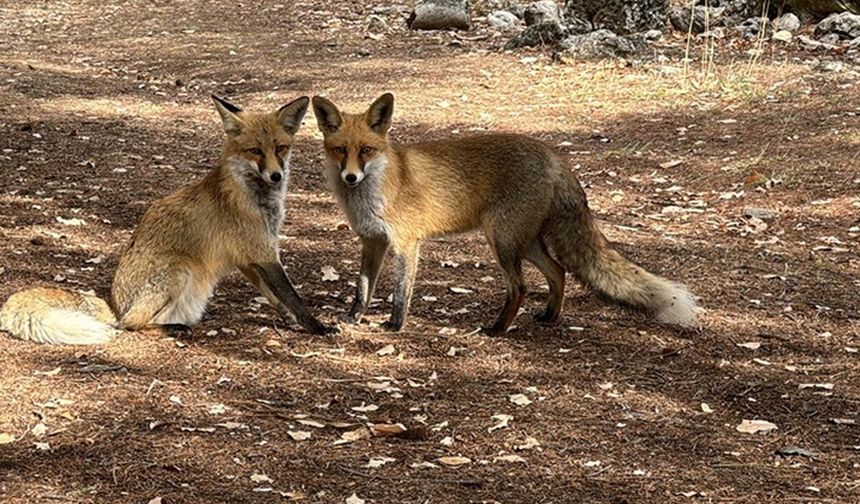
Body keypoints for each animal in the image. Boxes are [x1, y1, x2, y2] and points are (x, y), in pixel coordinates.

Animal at [0, 96, 330, 344]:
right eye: (255, 151)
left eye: (281, 148)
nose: (276, 176)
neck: (254, 193)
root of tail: (114, 301)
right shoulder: (262, 251)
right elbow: (293, 296)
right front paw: (318, 326)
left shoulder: (249, 257)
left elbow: (276, 296)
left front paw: (290, 320)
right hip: (179, 270)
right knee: (127, 323)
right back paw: (175, 328)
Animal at [312, 93, 704, 334]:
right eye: (340, 150)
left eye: (366, 150)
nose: (350, 177)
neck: (373, 191)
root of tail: (553, 155)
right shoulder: (372, 241)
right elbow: (362, 287)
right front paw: (353, 317)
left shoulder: (407, 243)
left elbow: (399, 292)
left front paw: (395, 325)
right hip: (523, 241)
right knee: (558, 272)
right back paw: (549, 317)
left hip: (501, 240)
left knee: (520, 287)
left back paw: (497, 329)